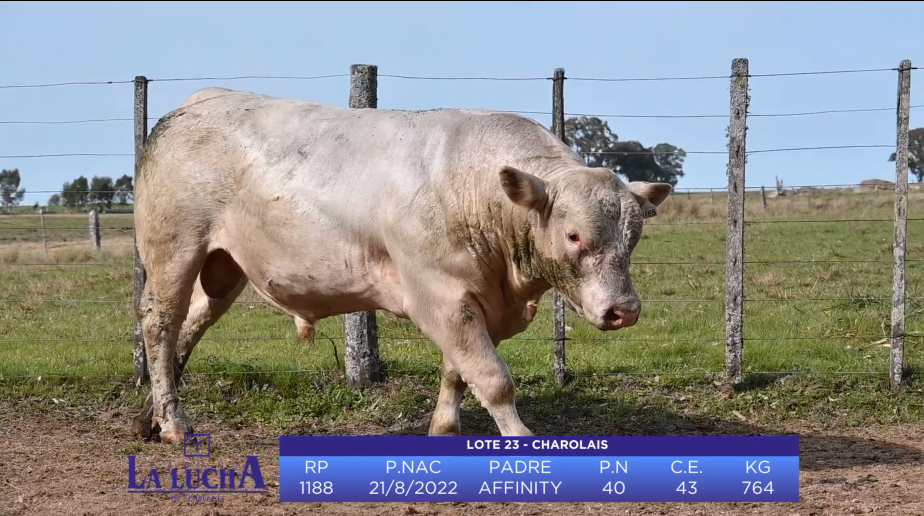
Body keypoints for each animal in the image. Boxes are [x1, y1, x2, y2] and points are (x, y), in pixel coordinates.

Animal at [132, 88, 672, 444]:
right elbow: (493, 377)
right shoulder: (440, 296)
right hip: (174, 250)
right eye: (574, 235)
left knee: (188, 327)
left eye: (634, 236)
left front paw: (444, 427)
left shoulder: (475, 302)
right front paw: (520, 436)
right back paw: (175, 425)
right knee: (160, 325)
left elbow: (459, 371)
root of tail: (191, 105)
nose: (624, 310)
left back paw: (152, 417)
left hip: (223, 270)